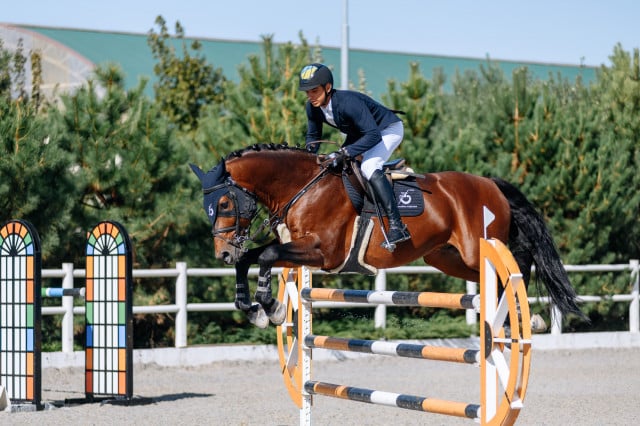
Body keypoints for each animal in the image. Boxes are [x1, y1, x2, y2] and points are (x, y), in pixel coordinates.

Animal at [190, 143, 584, 326]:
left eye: (223, 203)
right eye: (208, 206)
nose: (221, 253)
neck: (302, 186)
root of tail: (492, 183)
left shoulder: (322, 253)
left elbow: (267, 256)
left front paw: (269, 308)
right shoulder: (296, 247)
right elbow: (251, 259)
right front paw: (252, 308)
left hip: (478, 246)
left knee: (520, 256)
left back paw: (522, 310)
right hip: (447, 257)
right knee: (493, 274)